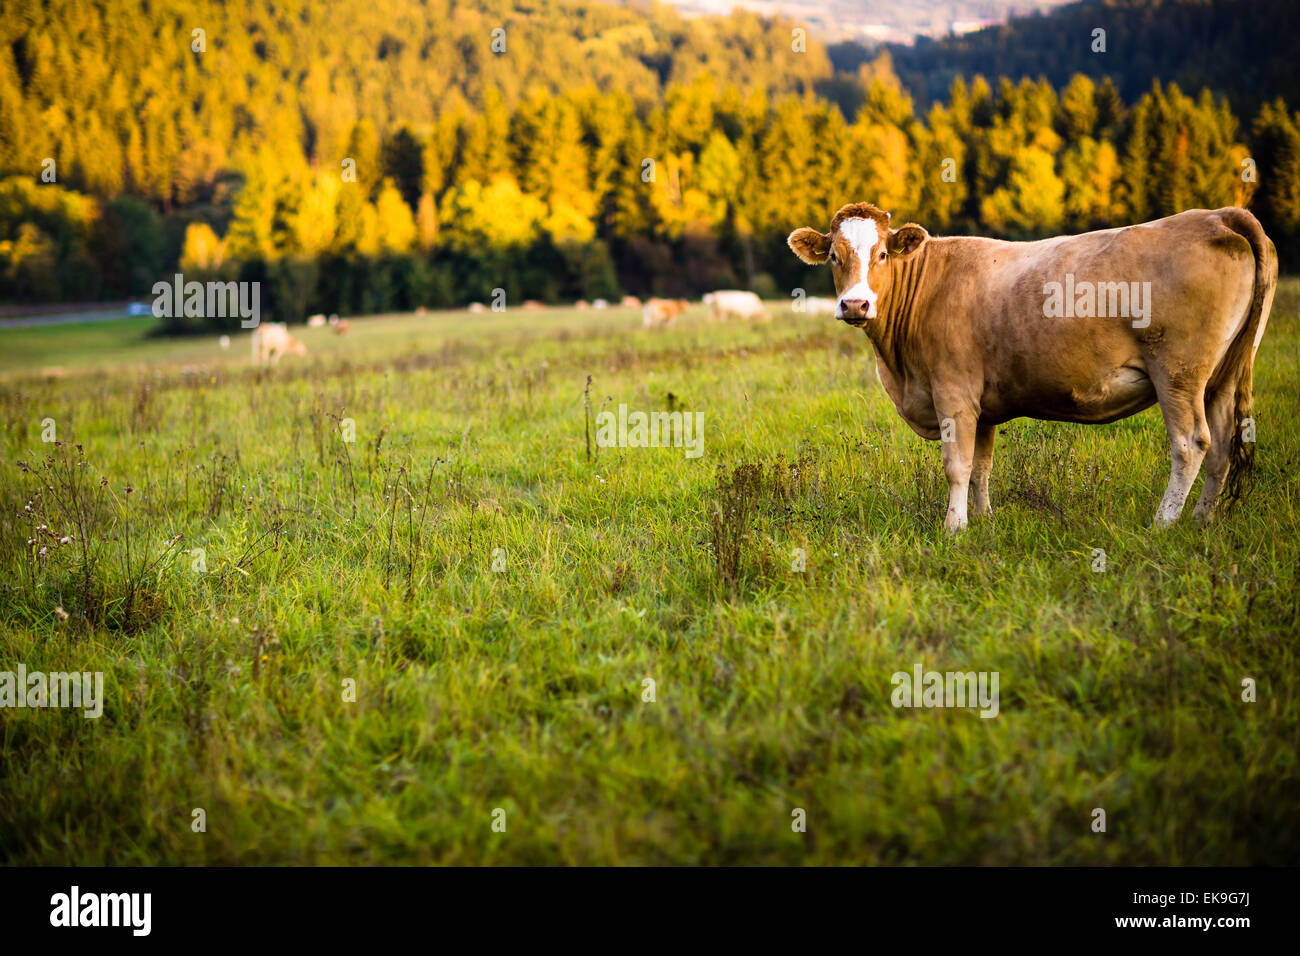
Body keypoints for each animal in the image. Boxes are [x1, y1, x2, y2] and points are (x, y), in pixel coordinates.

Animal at [787, 202, 1276, 532]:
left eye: (883, 255)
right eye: (835, 257)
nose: (855, 304)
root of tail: (1216, 215)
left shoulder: (953, 394)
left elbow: (956, 465)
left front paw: (954, 528)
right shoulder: (981, 404)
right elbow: (981, 466)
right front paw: (983, 521)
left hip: (1178, 373)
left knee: (1191, 444)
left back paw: (1163, 522)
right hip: (1221, 377)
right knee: (1221, 447)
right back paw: (1200, 520)